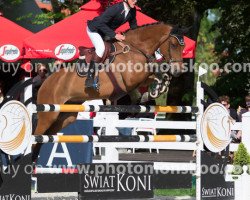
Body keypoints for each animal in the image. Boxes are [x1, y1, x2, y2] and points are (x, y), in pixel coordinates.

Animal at [32, 21, 186, 159]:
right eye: (173, 45)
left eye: (182, 47)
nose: (178, 71)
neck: (136, 48)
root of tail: (46, 82)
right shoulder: (132, 77)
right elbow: (154, 69)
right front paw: (159, 84)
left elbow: (152, 77)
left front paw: (158, 87)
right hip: (49, 114)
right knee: (36, 138)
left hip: (66, 116)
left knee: (45, 138)